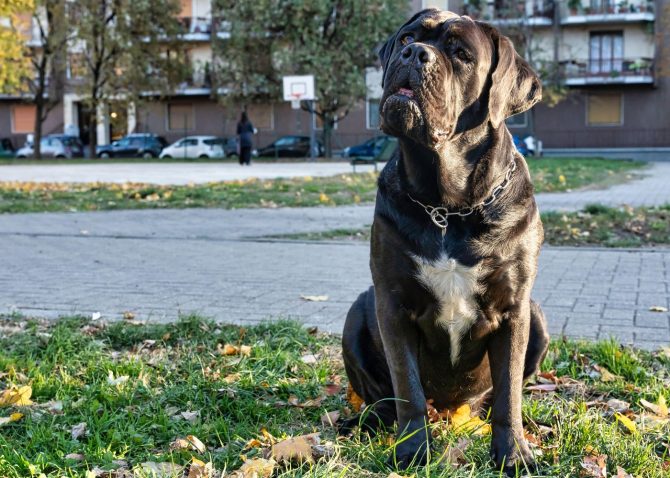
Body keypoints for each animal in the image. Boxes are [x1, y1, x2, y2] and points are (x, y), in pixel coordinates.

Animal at [342, 8, 552, 478]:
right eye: (407, 37)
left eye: (461, 54)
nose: (414, 54)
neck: (449, 207)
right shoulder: (392, 304)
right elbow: (408, 390)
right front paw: (412, 452)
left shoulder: (515, 308)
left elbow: (510, 392)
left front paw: (512, 454)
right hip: (357, 310)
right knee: (382, 398)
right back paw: (363, 423)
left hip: (538, 316)